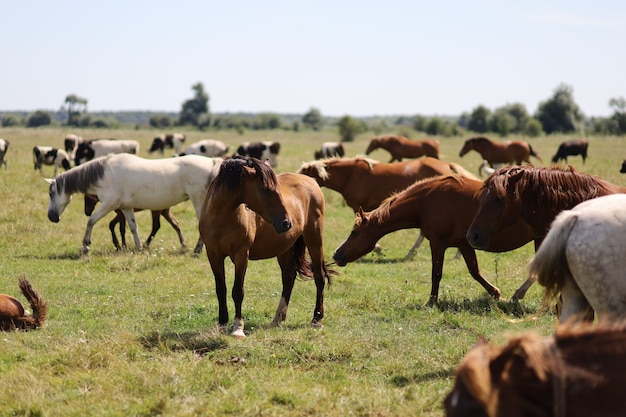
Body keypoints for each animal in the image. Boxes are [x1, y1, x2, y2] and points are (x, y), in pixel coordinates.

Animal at [46, 153, 222, 254]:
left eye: (51, 193)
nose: (51, 217)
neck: (105, 174)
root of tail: (213, 162)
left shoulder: (108, 205)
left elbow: (91, 221)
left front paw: (85, 246)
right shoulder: (125, 207)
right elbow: (132, 227)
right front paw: (138, 248)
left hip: (198, 201)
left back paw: (198, 249)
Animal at [201, 156, 334, 338]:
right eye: (264, 189)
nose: (286, 223)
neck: (221, 218)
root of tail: (311, 181)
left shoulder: (241, 255)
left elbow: (238, 291)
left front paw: (238, 328)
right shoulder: (213, 255)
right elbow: (221, 289)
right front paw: (221, 325)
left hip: (314, 239)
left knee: (319, 276)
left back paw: (316, 318)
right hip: (285, 249)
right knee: (288, 278)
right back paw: (277, 319)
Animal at [334, 174, 532, 304]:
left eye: (354, 232)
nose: (336, 254)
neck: (426, 201)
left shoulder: (437, 243)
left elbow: (436, 274)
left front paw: (431, 302)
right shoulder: (464, 244)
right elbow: (475, 272)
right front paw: (495, 293)